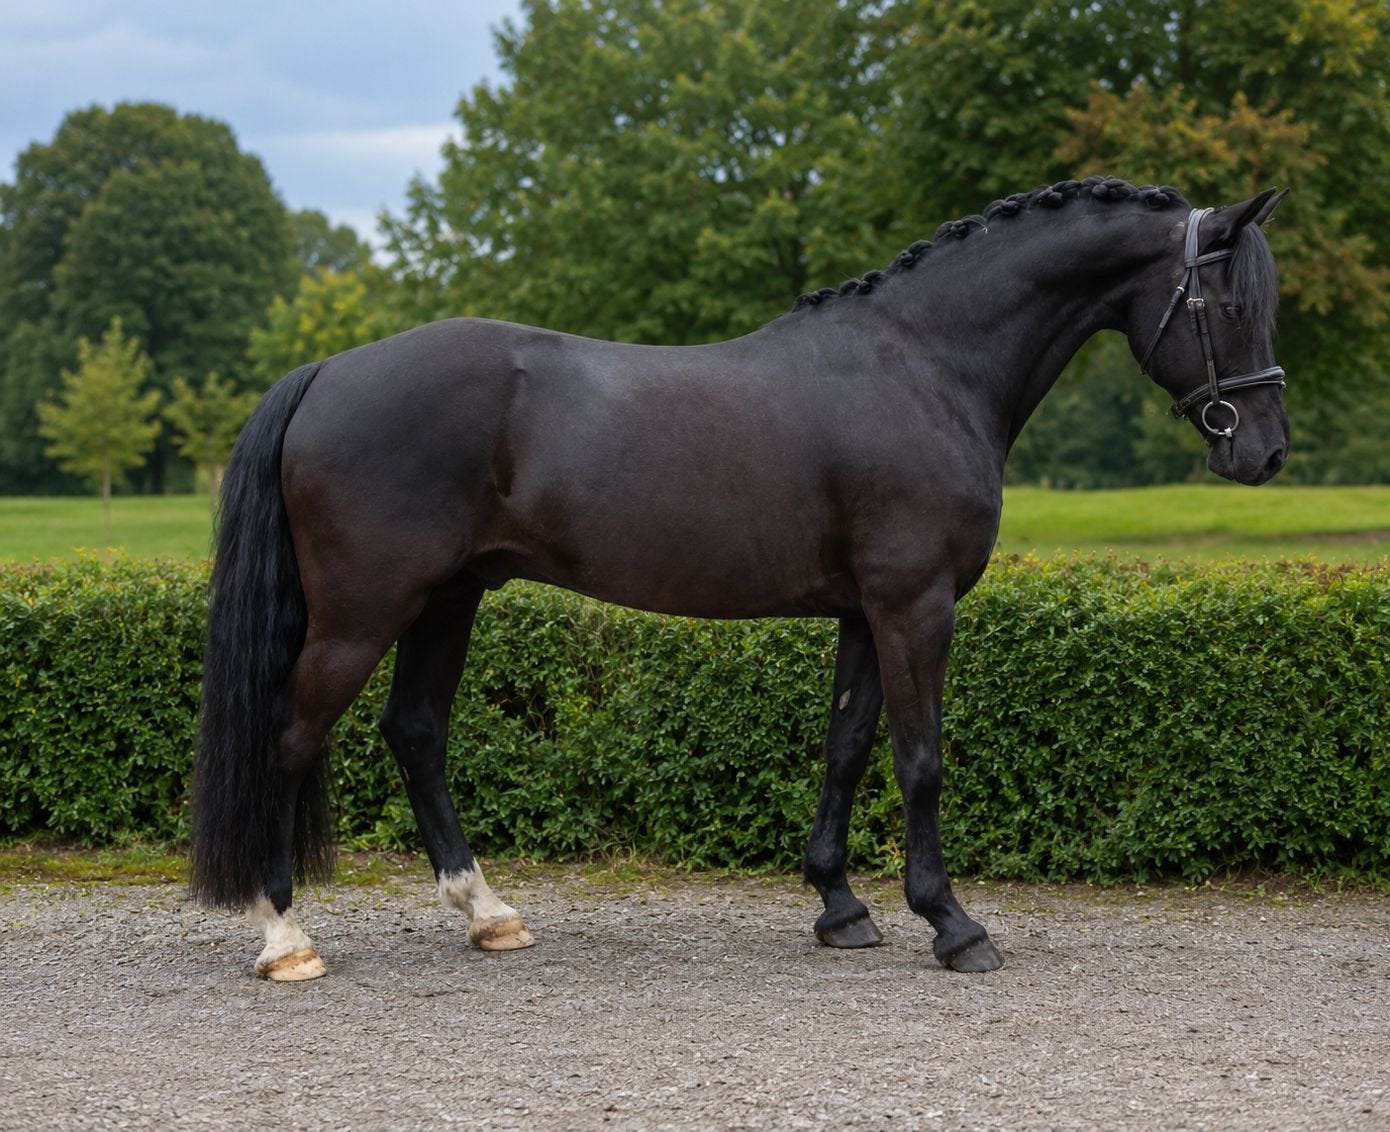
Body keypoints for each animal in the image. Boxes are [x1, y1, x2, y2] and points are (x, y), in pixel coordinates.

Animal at [190, 176, 1290, 981]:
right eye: (1230, 301)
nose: (1266, 452)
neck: (923, 365)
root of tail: (327, 372)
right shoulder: (914, 605)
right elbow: (920, 759)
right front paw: (952, 923)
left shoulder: (863, 612)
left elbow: (846, 748)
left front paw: (840, 907)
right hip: (362, 610)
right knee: (292, 735)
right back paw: (286, 937)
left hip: (449, 599)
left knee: (415, 733)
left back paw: (488, 914)